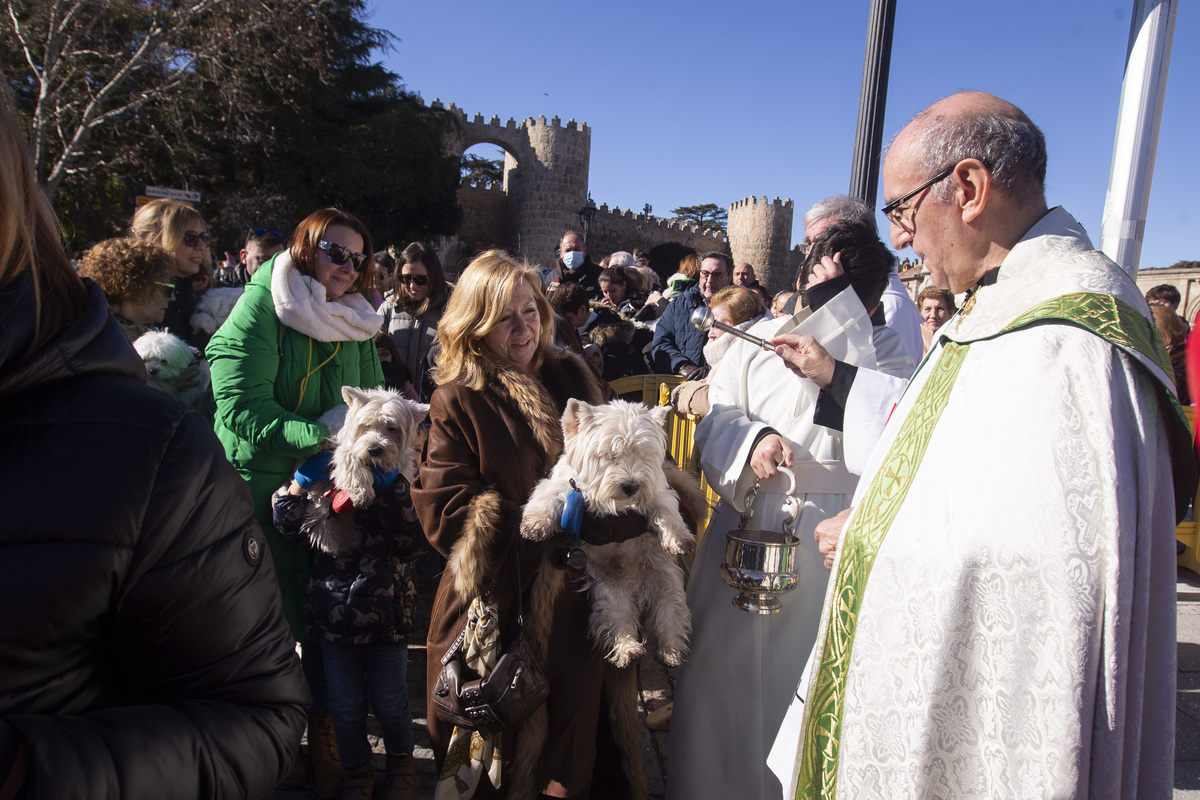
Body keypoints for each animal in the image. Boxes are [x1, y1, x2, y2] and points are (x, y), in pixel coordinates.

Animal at [297, 388, 429, 556]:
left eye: (392, 427)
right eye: (366, 425)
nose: (374, 449)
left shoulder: (403, 462)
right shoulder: (346, 450)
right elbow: (353, 466)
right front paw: (363, 494)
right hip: (319, 490)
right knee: (321, 513)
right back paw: (333, 543)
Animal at [520, 400, 700, 671]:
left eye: (643, 454)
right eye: (610, 455)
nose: (631, 486)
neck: (615, 503)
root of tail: (636, 588)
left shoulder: (657, 491)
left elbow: (667, 510)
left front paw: (679, 538)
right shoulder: (565, 485)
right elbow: (547, 494)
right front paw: (536, 523)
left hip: (666, 583)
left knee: (670, 616)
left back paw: (671, 652)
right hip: (608, 591)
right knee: (618, 619)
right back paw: (629, 650)